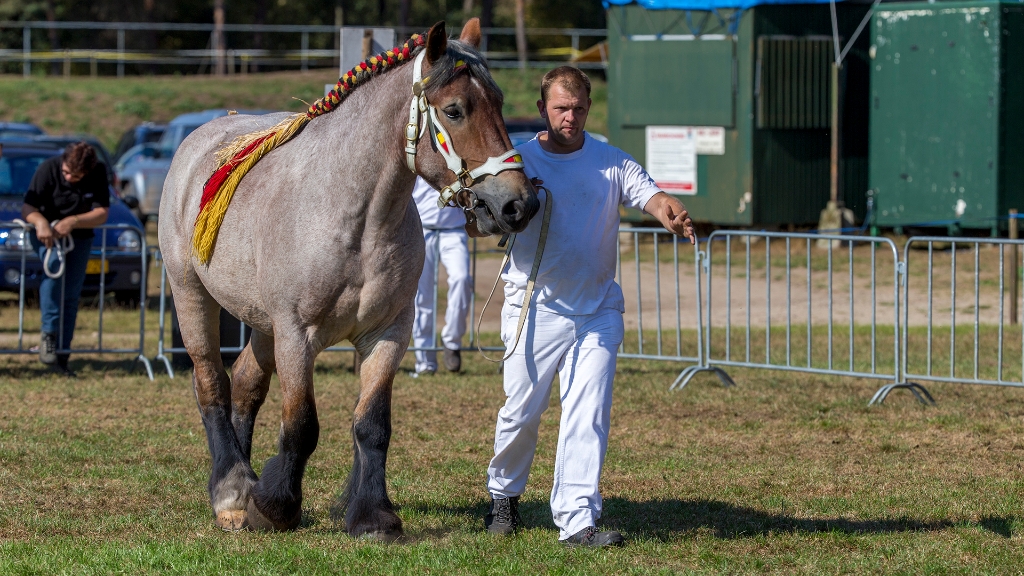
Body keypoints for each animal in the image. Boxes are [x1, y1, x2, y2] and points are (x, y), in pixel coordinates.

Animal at [156, 19, 540, 537]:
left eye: (499, 103)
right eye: (455, 110)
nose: (519, 203)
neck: (356, 218)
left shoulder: (387, 334)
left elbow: (372, 425)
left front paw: (373, 515)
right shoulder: (297, 335)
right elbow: (302, 425)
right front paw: (274, 507)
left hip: (260, 323)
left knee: (246, 384)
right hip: (192, 295)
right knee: (211, 384)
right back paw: (233, 491)